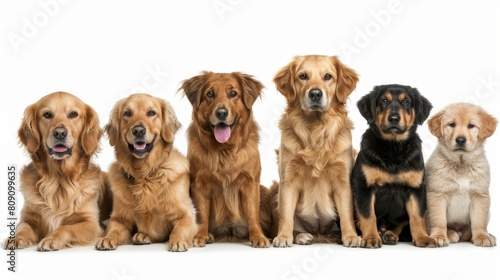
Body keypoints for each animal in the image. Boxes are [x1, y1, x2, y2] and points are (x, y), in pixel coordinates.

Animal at [352, 84, 438, 248]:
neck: (393, 148)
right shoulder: (364, 187)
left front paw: (422, 237)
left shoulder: (416, 188)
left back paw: (389, 235)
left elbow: (417, 216)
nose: (393, 118)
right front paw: (371, 238)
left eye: (406, 102)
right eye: (384, 101)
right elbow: (368, 215)